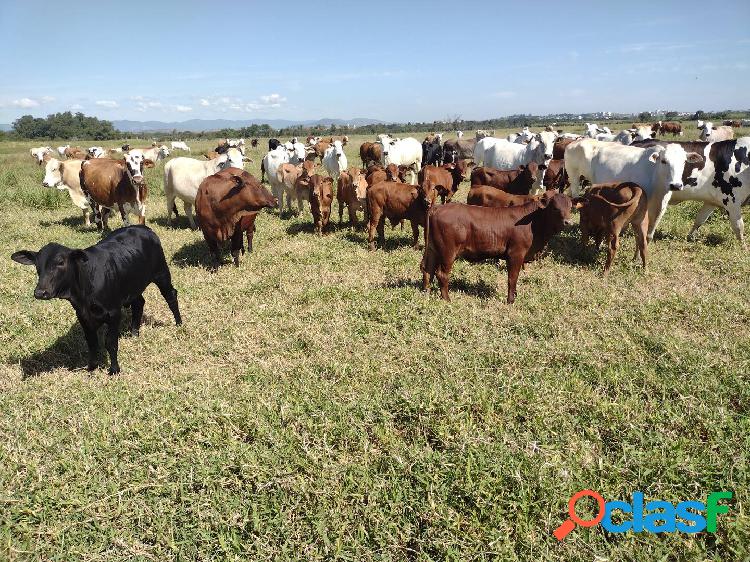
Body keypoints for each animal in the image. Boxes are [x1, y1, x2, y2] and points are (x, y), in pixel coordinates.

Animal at [11, 225, 184, 374]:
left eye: (61, 262)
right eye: (37, 265)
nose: (40, 292)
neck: (82, 294)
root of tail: (143, 227)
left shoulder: (114, 313)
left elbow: (110, 342)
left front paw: (114, 370)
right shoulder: (83, 316)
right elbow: (92, 342)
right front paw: (91, 367)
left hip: (161, 273)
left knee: (171, 296)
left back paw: (179, 324)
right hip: (133, 285)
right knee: (139, 303)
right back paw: (134, 332)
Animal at [420, 191, 572, 302]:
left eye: (570, 207)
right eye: (555, 208)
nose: (568, 222)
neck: (533, 222)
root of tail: (437, 208)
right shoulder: (516, 254)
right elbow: (512, 278)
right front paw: (511, 300)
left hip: (433, 249)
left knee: (428, 270)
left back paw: (426, 292)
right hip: (448, 252)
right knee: (442, 274)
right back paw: (447, 299)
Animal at [568, 139, 708, 240]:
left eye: (684, 162)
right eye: (663, 161)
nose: (676, 185)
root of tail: (576, 141)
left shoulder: (661, 208)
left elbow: (649, 235)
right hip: (574, 178)